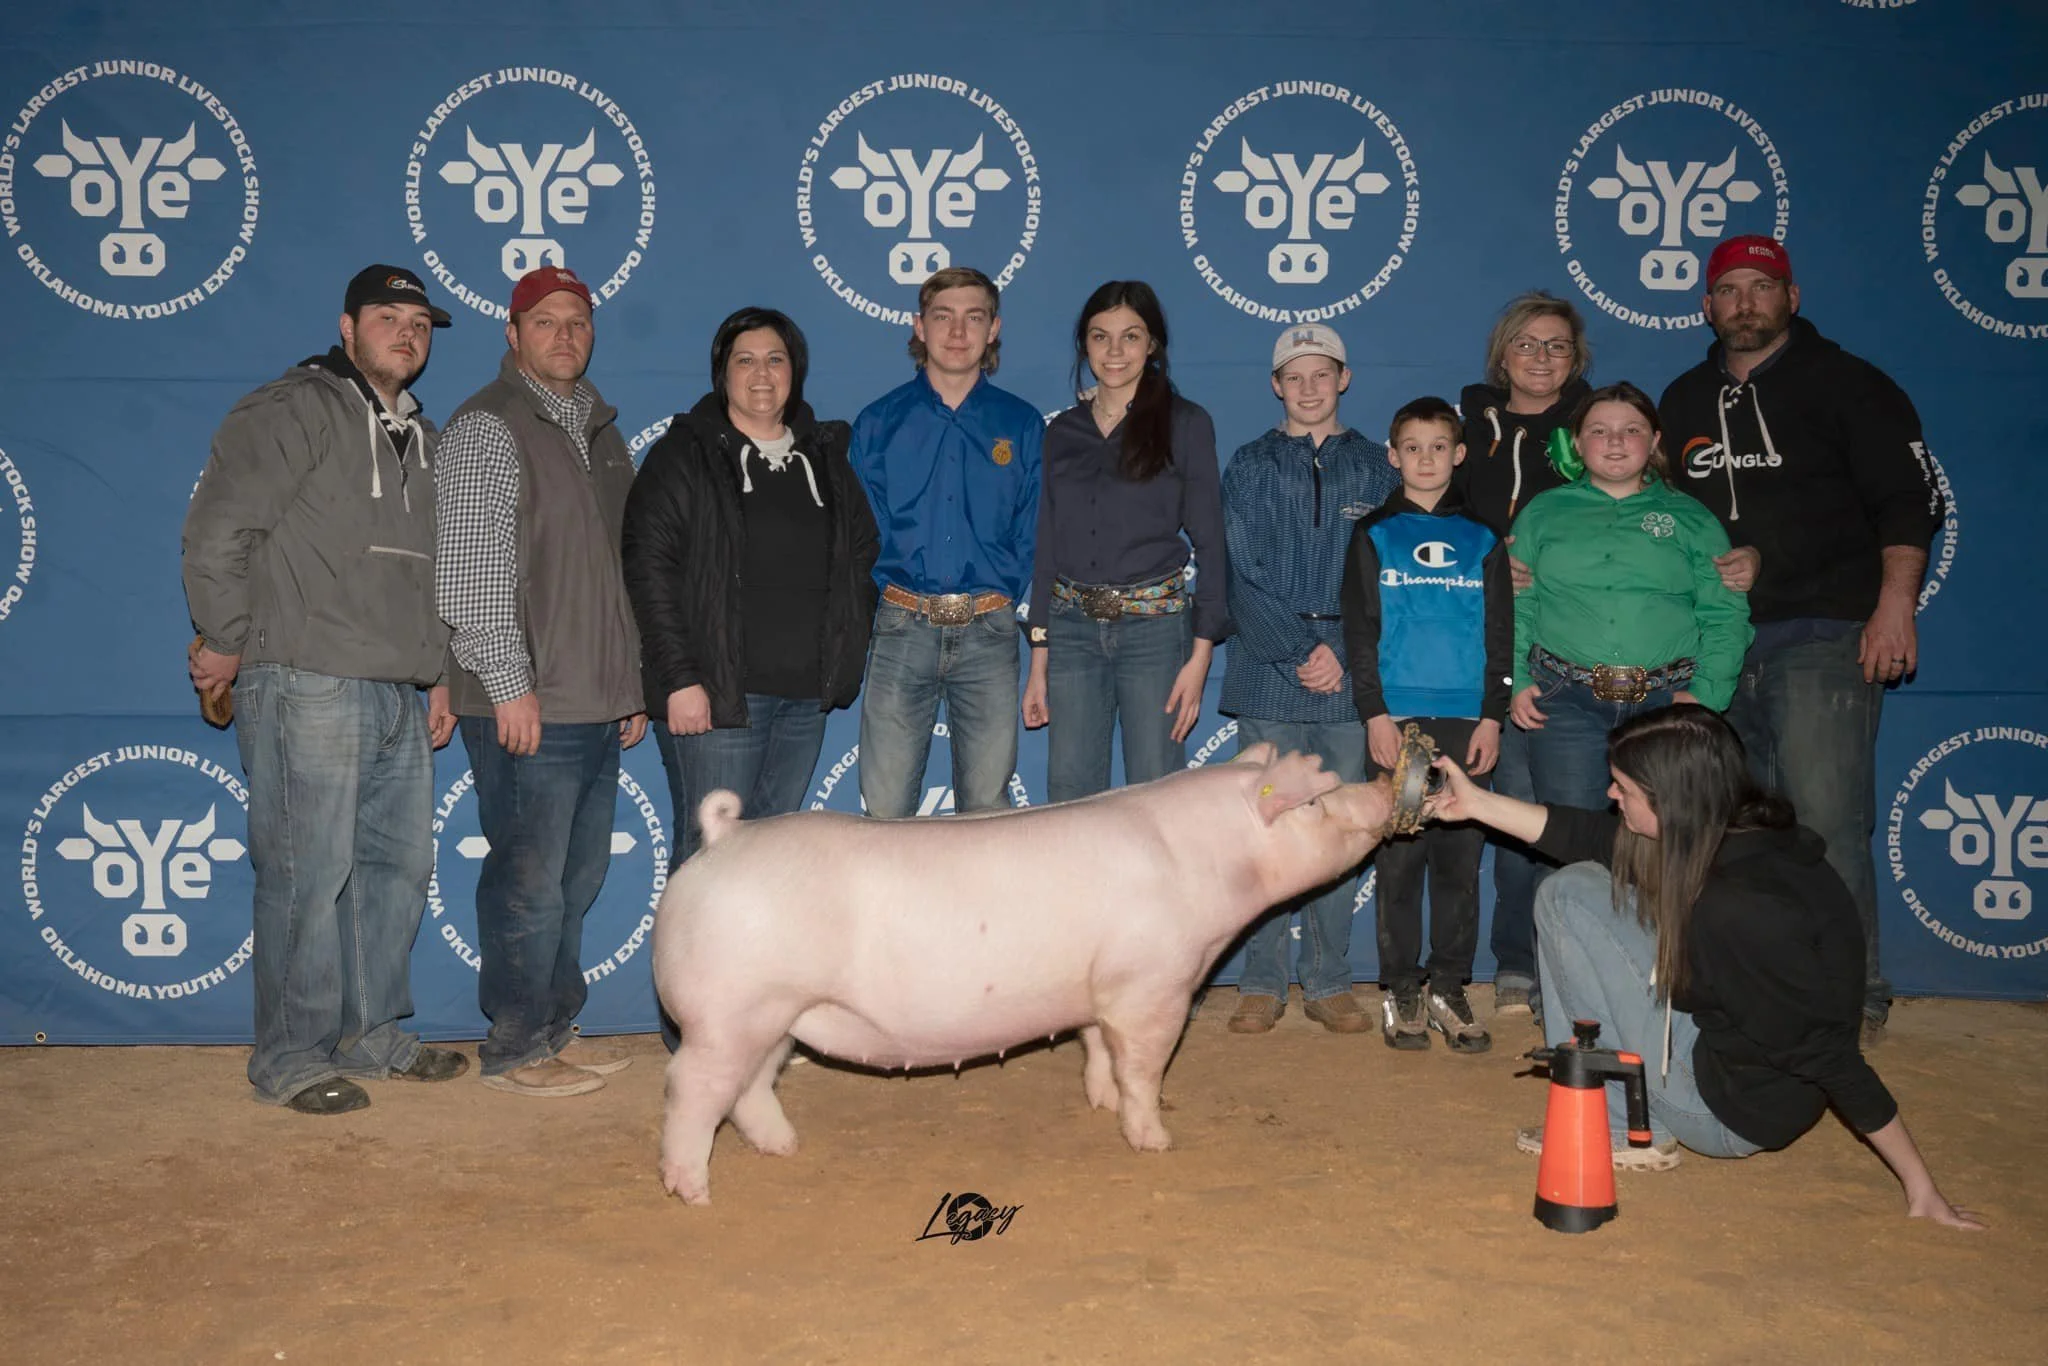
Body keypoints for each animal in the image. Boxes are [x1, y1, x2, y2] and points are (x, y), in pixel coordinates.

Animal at [653, 743, 1395, 1204]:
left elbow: (1098, 1050)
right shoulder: (1152, 984)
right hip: (727, 1011)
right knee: (691, 1086)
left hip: (773, 1014)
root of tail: (722, 839)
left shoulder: (1100, 989)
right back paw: (693, 1191)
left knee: (751, 1087)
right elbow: (1144, 1067)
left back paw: (786, 1147)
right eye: (1314, 803)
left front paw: (1100, 1104)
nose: (1386, 787)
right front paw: (1154, 1141)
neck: (1213, 864)